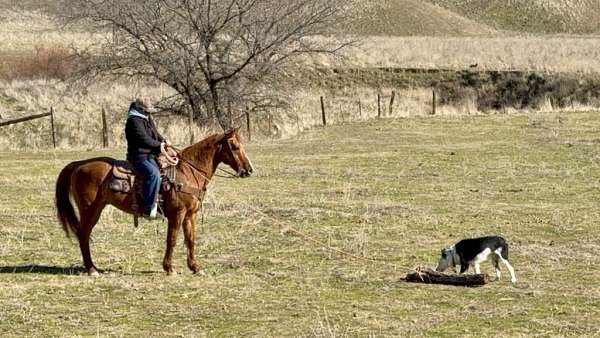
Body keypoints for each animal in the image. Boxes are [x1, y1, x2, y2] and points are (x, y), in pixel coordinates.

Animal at [54, 128, 253, 276]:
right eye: (234, 146)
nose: (249, 170)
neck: (188, 172)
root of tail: (79, 164)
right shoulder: (177, 214)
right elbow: (172, 239)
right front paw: (169, 268)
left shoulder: (190, 215)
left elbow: (190, 240)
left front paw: (195, 267)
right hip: (90, 210)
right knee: (83, 235)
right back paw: (92, 269)